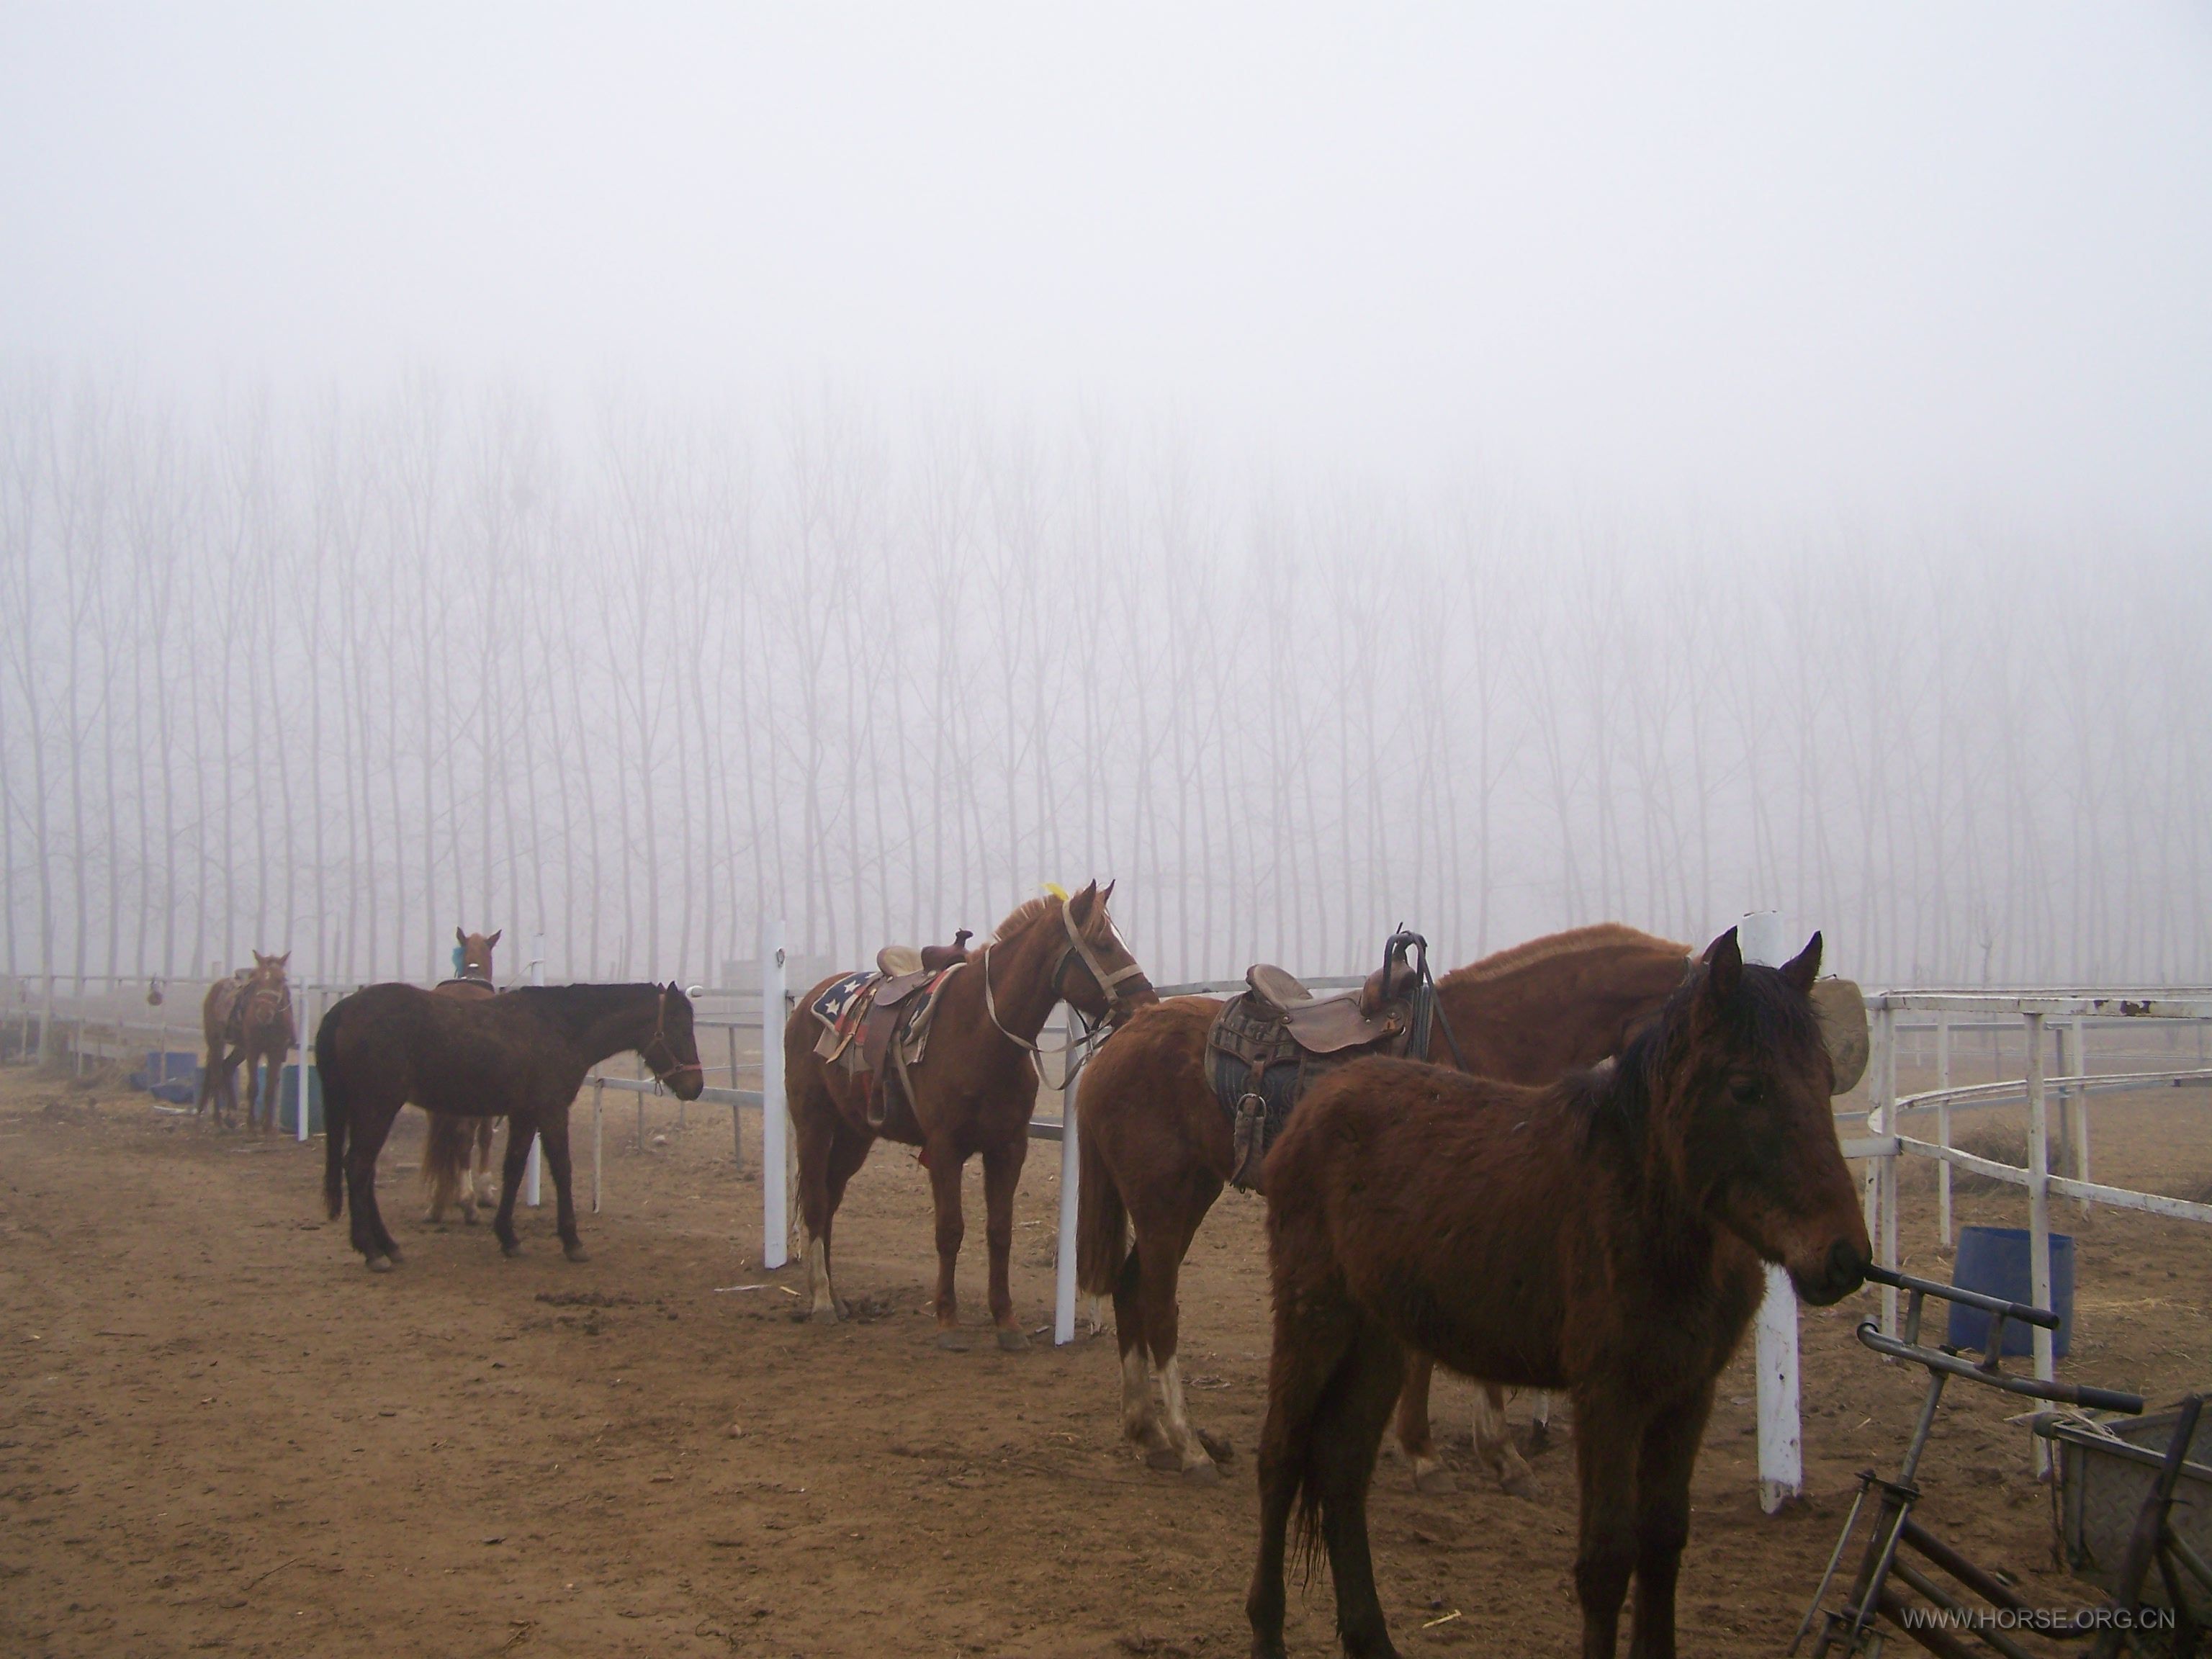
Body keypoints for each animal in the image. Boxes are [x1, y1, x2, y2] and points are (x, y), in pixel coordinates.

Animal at [316, 973, 698, 1274]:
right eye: (679, 1025)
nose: (696, 1086)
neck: (561, 1028)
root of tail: (345, 1009)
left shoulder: (524, 1114)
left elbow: (513, 1169)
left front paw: (508, 1237)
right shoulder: (551, 1111)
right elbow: (562, 1170)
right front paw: (572, 1241)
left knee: (363, 1172)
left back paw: (388, 1246)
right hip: (377, 1107)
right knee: (359, 1168)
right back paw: (373, 1251)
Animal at [415, 929, 500, 1230]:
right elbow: (485, 1137)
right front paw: (484, 1191)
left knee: (440, 1139)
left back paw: (435, 1204)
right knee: (463, 1138)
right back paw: (468, 1203)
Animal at [783, 884, 1159, 1354]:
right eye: (1104, 944)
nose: (1148, 1006)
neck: (980, 1032)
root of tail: (807, 1003)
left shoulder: (1008, 1148)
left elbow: (1000, 1232)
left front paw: (1007, 1323)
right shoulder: (945, 1149)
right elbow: (950, 1231)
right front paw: (947, 1321)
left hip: (855, 1134)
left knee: (832, 1198)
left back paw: (835, 1296)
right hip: (813, 1122)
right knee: (817, 1200)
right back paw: (820, 1301)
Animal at [1079, 929, 1681, 1486]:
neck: (1487, 1043)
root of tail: (1122, 1040)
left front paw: (1502, 1454)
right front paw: (1425, 1452)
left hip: (1189, 1192)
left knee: (1130, 1289)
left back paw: (1149, 1432)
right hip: (1164, 1197)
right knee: (1158, 1306)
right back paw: (1189, 1446)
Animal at [1247, 938, 1866, 1659]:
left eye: (1824, 1077)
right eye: (1746, 1087)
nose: (1844, 1257)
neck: (1645, 1202)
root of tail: (1314, 1107)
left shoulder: (1687, 1394)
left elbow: (1663, 1545)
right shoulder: (1609, 1395)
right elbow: (1605, 1562)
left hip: (1380, 1340)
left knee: (1342, 1467)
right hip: (1313, 1319)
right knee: (1280, 1458)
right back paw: (1267, 1629)